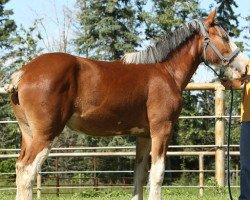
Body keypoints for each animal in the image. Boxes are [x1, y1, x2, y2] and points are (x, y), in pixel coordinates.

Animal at [6, 9, 249, 200]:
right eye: (225, 37)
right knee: (28, 172)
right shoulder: (162, 130)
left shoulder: (143, 136)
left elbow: (139, 177)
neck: (166, 72)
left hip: (28, 134)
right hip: (46, 134)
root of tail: (23, 72)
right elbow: (157, 175)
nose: (244, 66)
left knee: (20, 170)